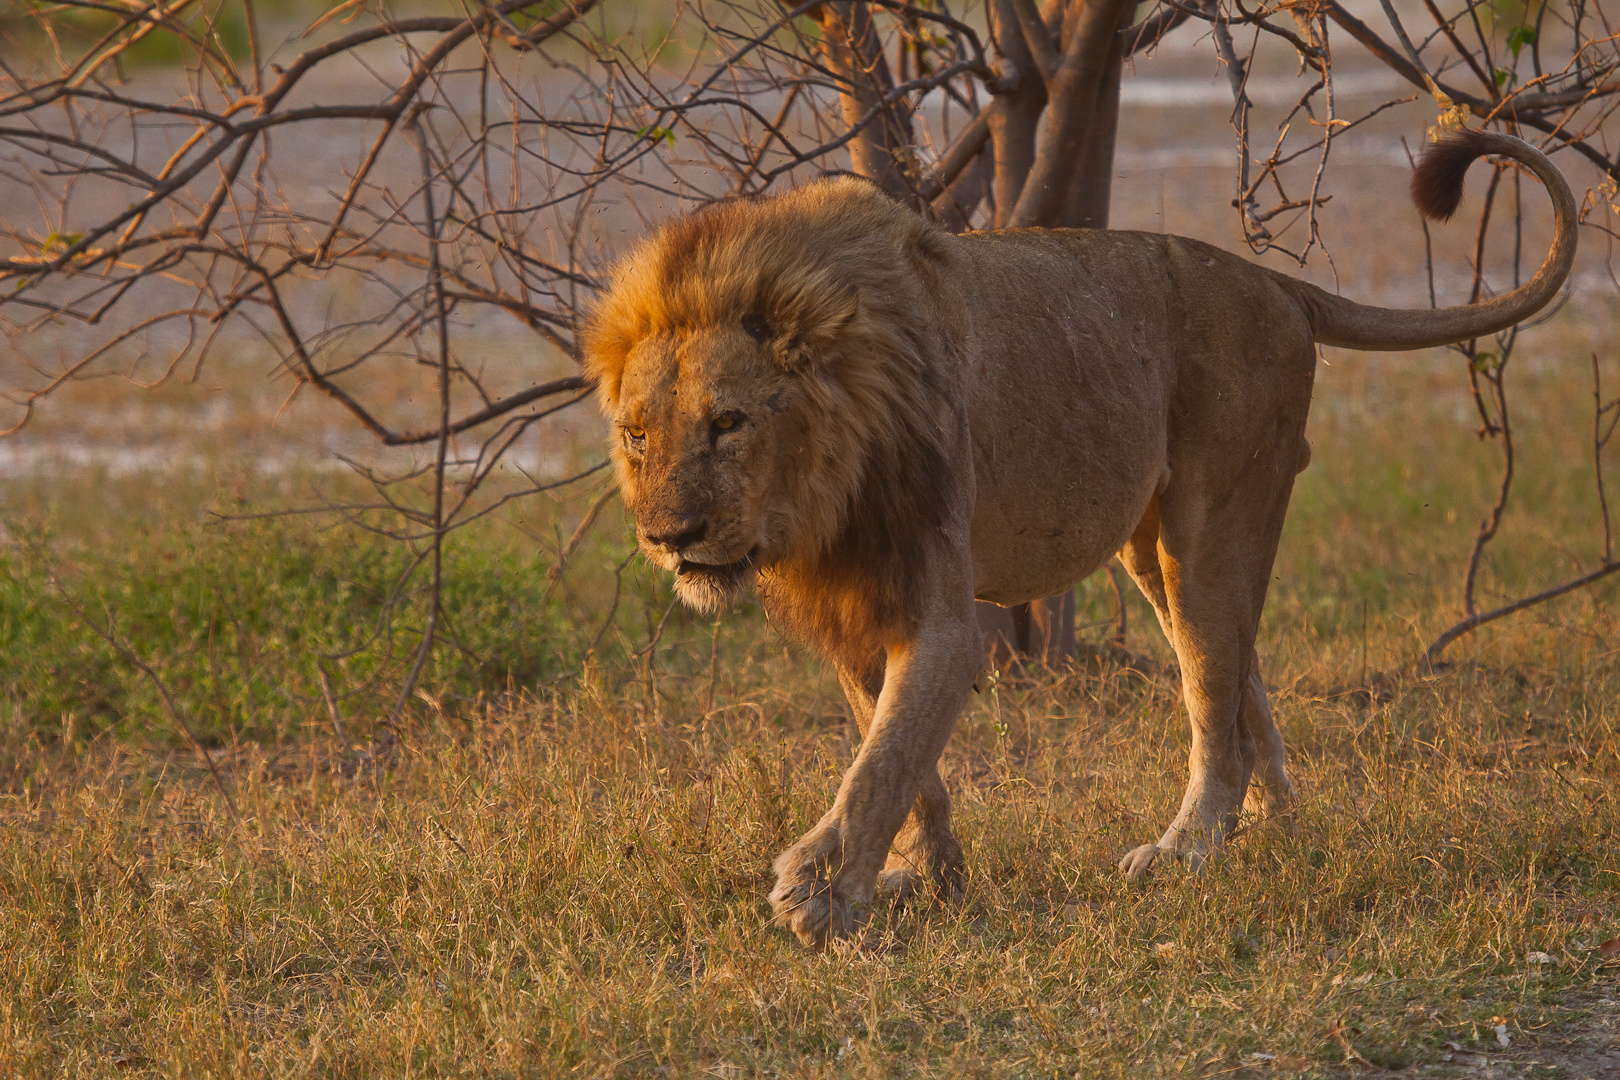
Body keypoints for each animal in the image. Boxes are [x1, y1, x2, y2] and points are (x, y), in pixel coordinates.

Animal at [579, 131, 1568, 952]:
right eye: (637, 436)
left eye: (729, 423)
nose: (668, 536)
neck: (824, 481)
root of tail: (1275, 282)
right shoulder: (858, 608)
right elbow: (899, 755)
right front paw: (924, 877)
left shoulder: (941, 614)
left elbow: (880, 764)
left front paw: (820, 894)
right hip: (1152, 549)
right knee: (1241, 687)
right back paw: (1282, 833)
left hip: (1212, 520)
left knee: (1213, 700)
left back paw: (1187, 851)